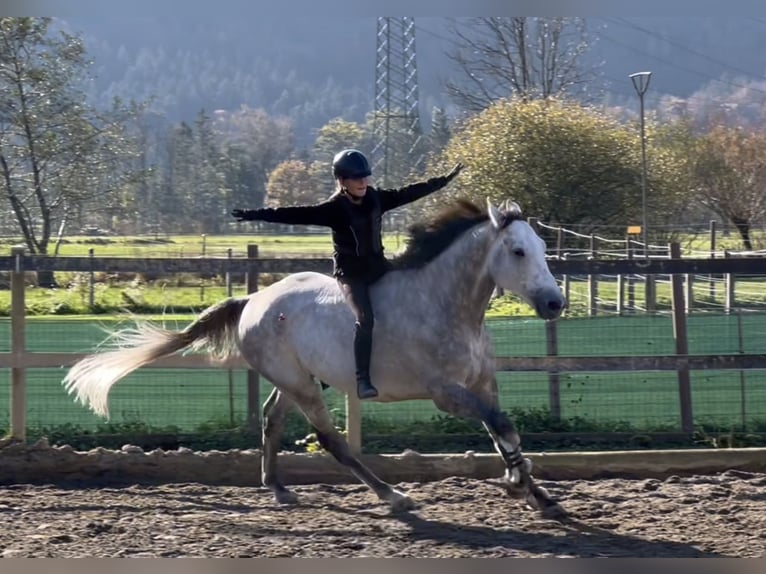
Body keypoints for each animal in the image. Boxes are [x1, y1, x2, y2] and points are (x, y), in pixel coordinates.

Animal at [64, 198, 568, 516]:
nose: (554, 303)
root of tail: (253, 300)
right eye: (518, 251)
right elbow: (502, 426)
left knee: (271, 420)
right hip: (303, 387)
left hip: (296, 380)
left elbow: (501, 430)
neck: (447, 306)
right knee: (331, 441)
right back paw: (393, 497)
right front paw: (521, 485)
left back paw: (277, 488)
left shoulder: (482, 384)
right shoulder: (447, 393)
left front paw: (534, 492)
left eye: (544, 249)